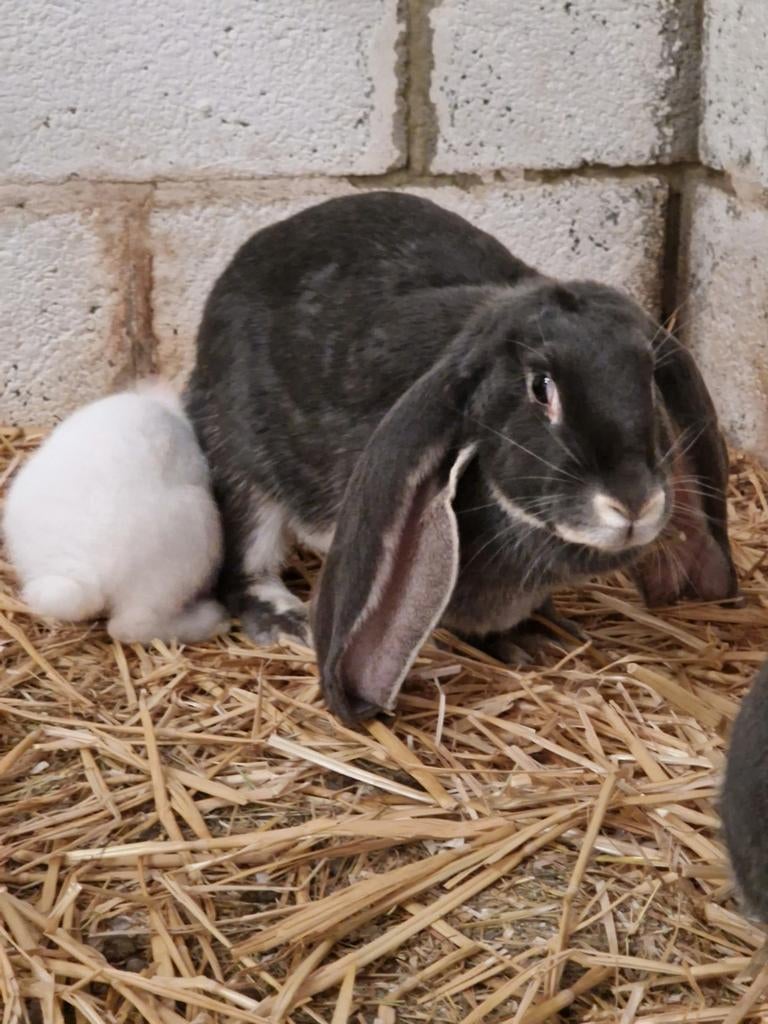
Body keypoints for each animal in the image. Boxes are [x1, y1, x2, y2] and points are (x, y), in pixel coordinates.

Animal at [185, 190, 738, 724]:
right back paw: (288, 620)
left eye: (648, 376)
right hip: (240, 466)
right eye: (541, 387)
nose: (634, 502)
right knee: (246, 562)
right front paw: (522, 643)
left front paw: (540, 634)